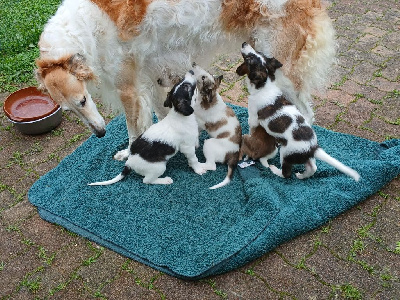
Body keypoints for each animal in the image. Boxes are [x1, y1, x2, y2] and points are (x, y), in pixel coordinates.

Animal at [236, 42, 360, 182]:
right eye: (259, 53)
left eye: (250, 59)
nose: (244, 43)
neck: (265, 86)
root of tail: (312, 148)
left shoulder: (252, 118)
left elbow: (251, 131)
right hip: (303, 157)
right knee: (312, 168)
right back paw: (302, 175)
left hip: (285, 153)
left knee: (286, 174)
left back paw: (275, 170)